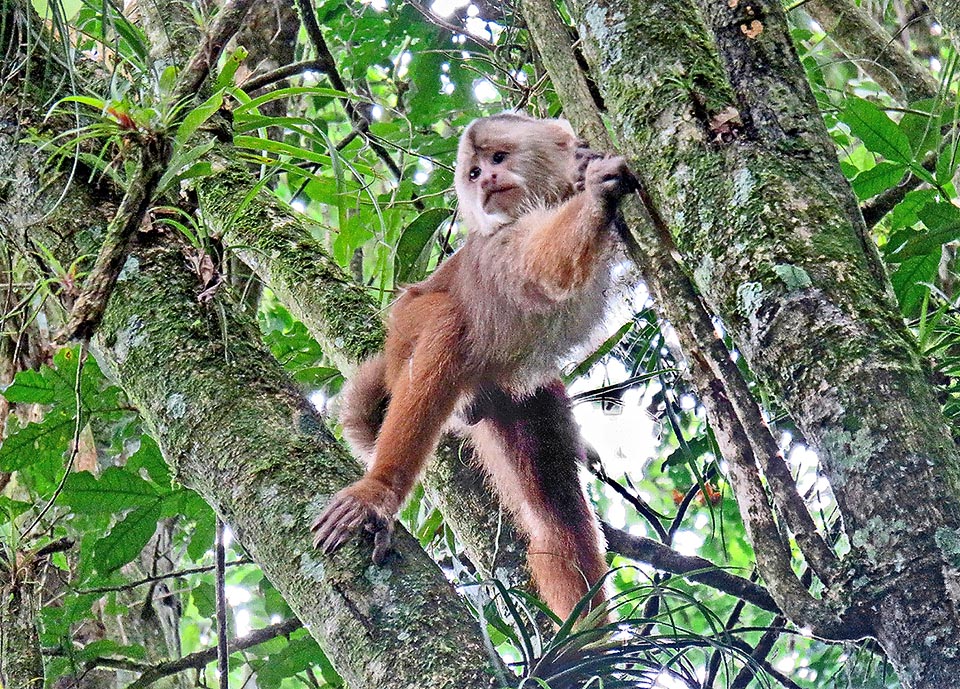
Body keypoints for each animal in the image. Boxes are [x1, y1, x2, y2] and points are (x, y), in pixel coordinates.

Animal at [312, 111, 632, 620]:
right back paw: (380, 490)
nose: (487, 182)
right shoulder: (498, 248)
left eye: (498, 158)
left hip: (517, 394)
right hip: (409, 326)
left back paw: (588, 635)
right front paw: (598, 197)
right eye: (475, 173)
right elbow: (546, 263)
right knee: (444, 324)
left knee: (555, 515)